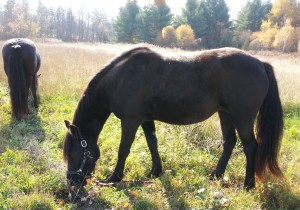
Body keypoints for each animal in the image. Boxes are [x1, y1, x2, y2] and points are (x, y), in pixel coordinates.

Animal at [63, 47, 284, 189]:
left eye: (73, 152)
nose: (72, 181)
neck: (121, 77)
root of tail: (260, 64)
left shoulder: (130, 120)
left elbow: (123, 149)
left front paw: (115, 177)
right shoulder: (146, 119)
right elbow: (152, 143)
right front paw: (156, 171)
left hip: (242, 117)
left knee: (250, 146)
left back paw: (249, 184)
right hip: (226, 114)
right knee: (229, 142)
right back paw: (216, 175)